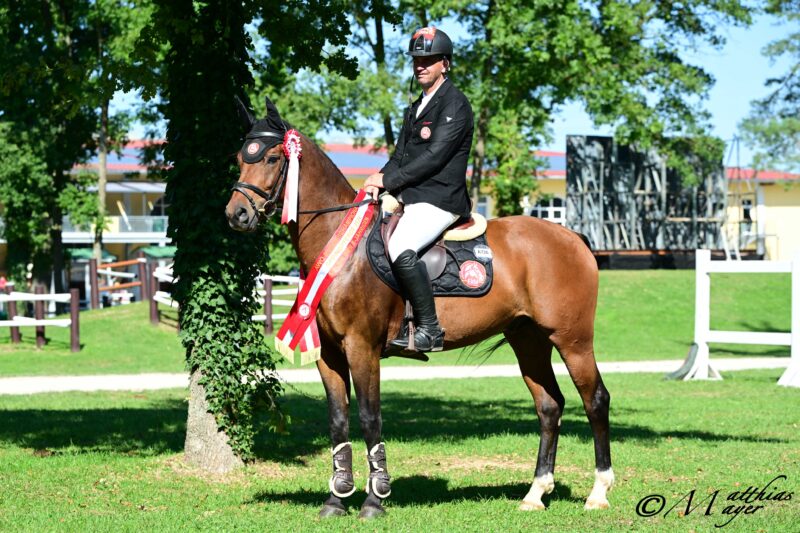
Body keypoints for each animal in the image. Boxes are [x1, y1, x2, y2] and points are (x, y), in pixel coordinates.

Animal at [225, 98, 612, 516]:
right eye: (240, 158)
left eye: (272, 157)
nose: (236, 214)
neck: (340, 246)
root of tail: (572, 237)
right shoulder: (329, 353)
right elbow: (338, 420)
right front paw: (336, 499)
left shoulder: (361, 348)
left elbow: (370, 417)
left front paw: (374, 500)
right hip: (528, 340)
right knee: (549, 406)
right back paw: (535, 493)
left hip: (572, 340)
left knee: (595, 400)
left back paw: (598, 492)